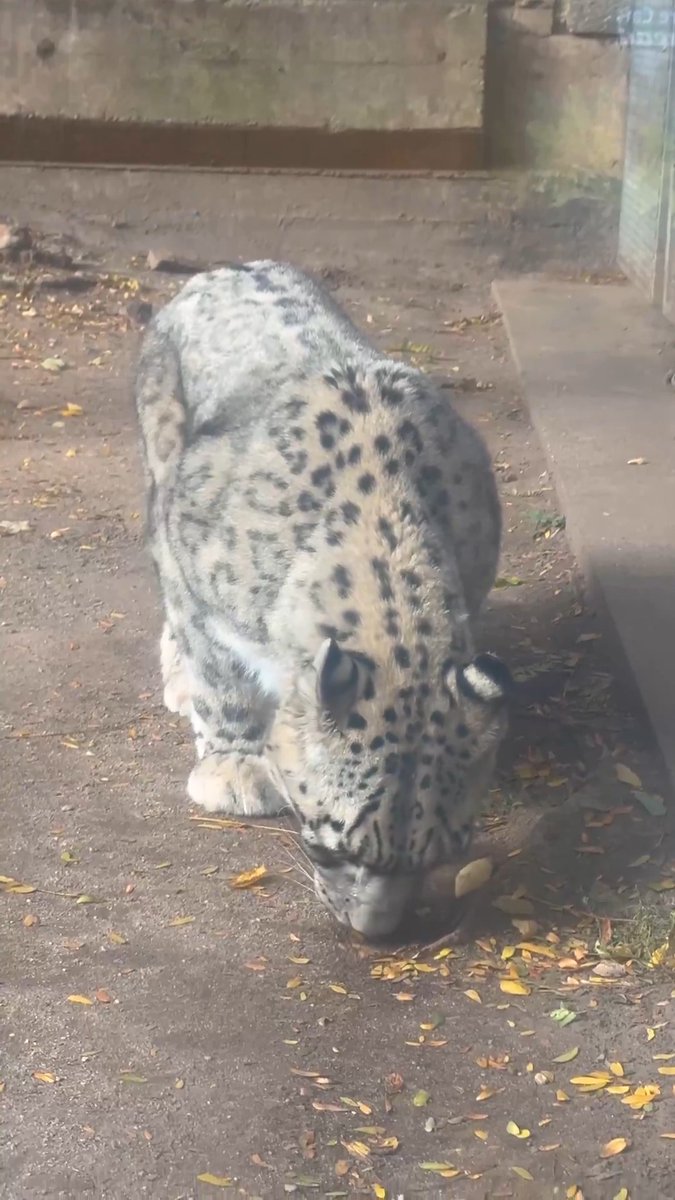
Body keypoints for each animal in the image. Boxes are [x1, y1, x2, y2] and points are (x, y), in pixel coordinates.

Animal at [135, 260, 512, 938]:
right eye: (332, 844)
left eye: (442, 853)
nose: (375, 931)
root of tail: (225, 268)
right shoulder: (196, 581)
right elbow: (221, 675)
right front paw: (235, 765)